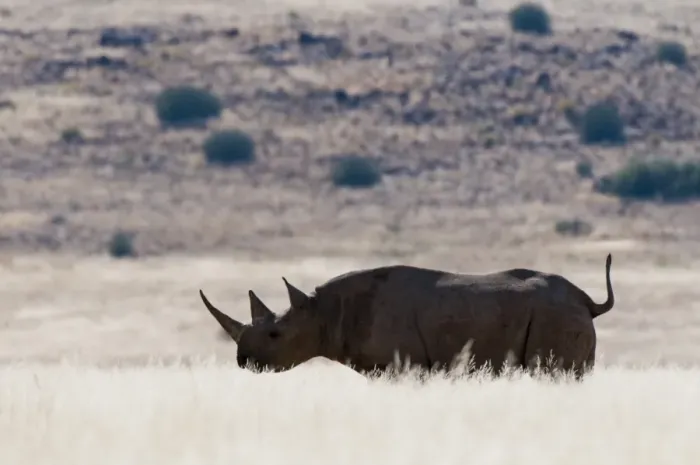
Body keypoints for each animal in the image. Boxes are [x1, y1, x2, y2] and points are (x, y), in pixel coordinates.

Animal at [199, 254, 614, 379]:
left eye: (275, 336)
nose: (243, 361)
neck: (320, 313)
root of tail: (587, 302)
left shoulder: (405, 365)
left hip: (554, 316)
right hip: (558, 314)